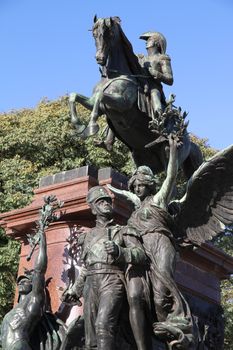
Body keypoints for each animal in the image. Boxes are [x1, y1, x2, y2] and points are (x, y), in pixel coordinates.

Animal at [69, 15, 202, 178]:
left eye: (109, 34)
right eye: (94, 34)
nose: (99, 58)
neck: (113, 75)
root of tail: (189, 142)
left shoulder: (122, 103)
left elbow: (100, 96)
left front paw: (91, 127)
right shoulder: (98, 105)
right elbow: (74, 96)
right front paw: (78, 125)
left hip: (169, 154)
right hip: (140, 157)